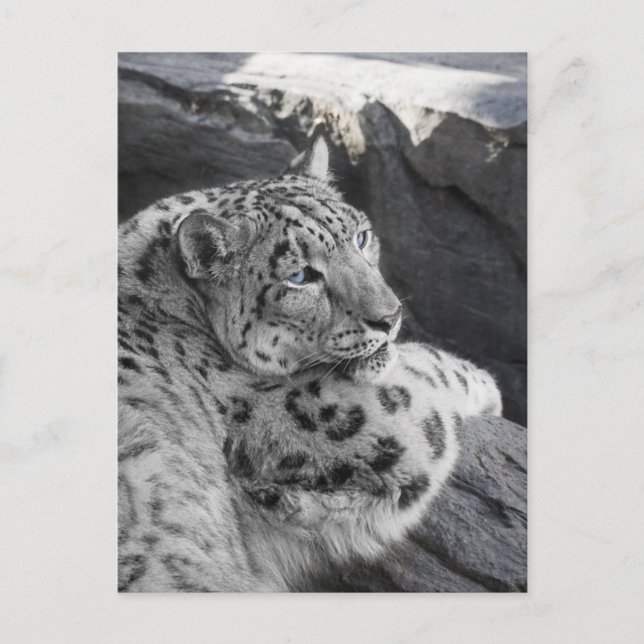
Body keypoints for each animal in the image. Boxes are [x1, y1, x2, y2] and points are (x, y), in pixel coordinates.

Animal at [117, 137, 502, 592]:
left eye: (361, 236)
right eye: (300, 276)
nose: (390, 317)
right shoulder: (353, 415)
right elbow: (423, 372)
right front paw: (485, 383)